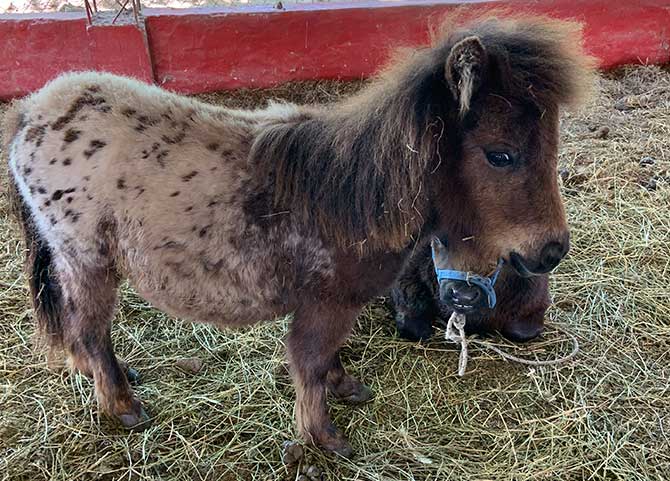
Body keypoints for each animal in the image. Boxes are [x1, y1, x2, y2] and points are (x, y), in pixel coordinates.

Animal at [3, 16, 592, 456]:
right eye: (501, 155)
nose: (552, 251)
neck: (353, 196)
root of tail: (32, 111)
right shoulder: (323, 303)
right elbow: (308, 363)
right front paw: (323, 440)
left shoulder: (337, 305)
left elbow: (327, 358)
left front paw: (345, 389)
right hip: (88, 261)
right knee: (89, 331)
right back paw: (121, 405)